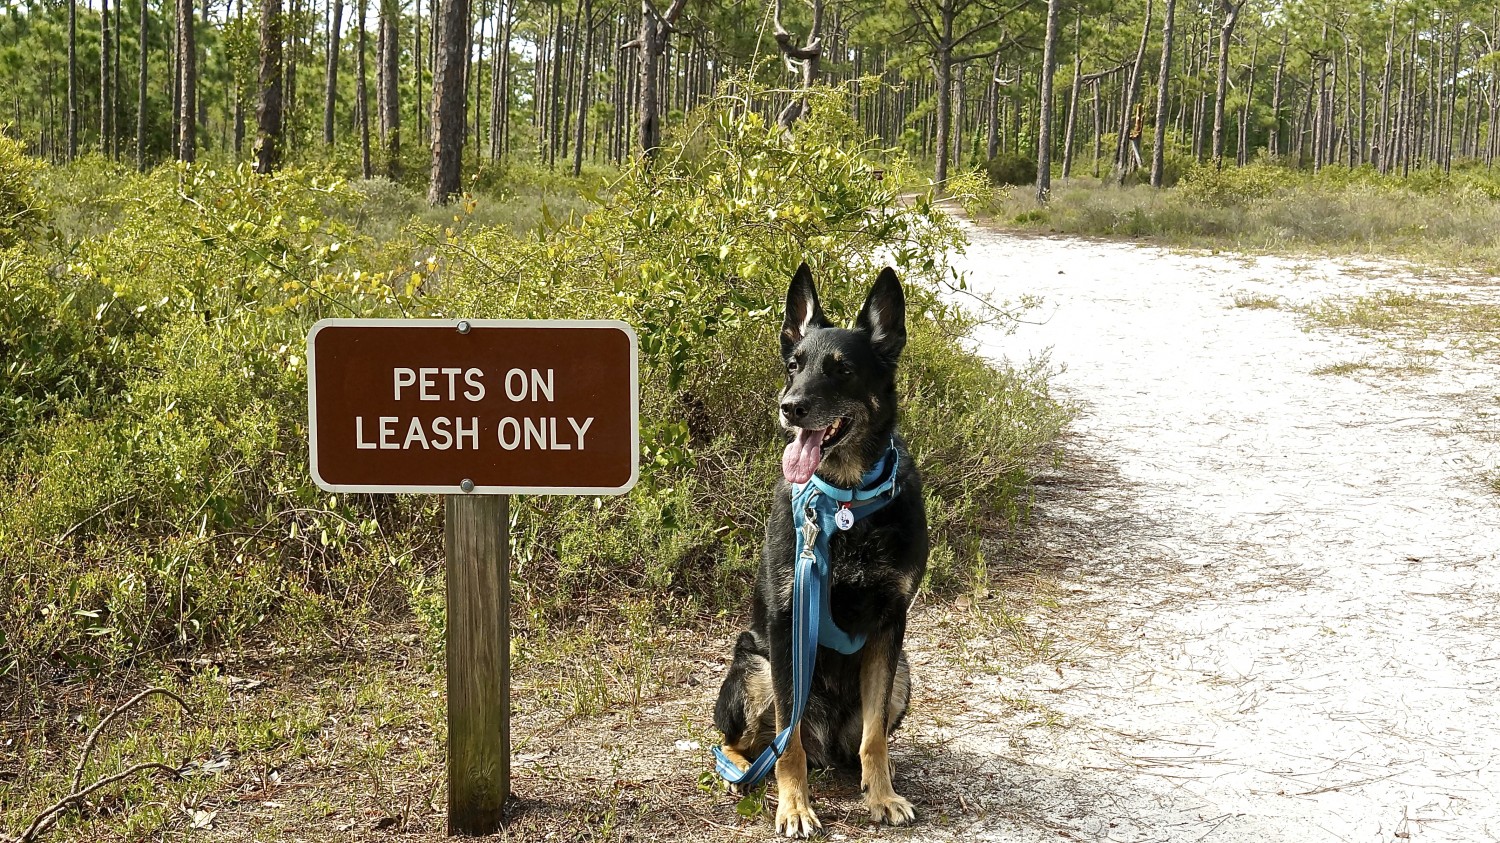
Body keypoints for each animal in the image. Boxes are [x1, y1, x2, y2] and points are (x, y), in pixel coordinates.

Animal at [714, 261, 924, 834]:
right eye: (794, 365)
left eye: (841, 370)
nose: (789, 409)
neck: (844, 500)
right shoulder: (789, 628)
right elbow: (788, 750)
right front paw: (795, 806)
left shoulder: (889, 628)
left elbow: (875, 739)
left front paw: (882, 795)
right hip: (754, 668)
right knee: (753, 743)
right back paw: (742, 771)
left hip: (902, 674)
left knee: (852, 743)